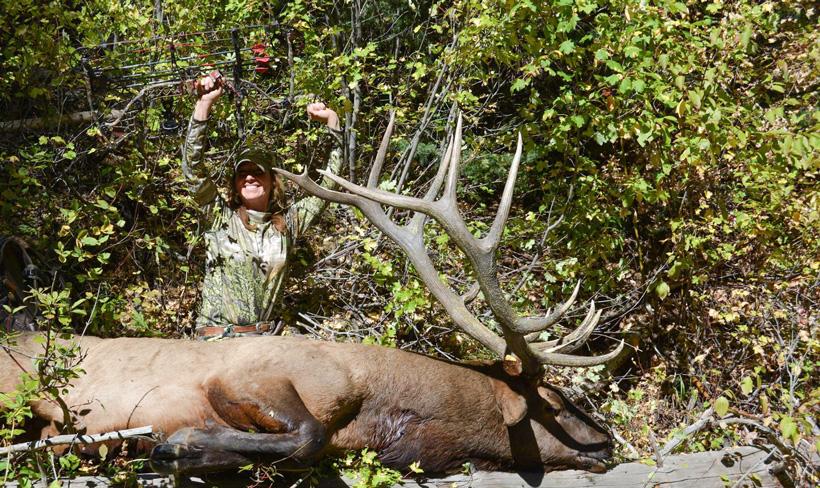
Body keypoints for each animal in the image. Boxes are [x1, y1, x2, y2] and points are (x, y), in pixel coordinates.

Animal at [0, 113, 624, 477]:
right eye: (557, 403)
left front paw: (183, 447)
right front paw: (179, 443)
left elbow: (302, 447)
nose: (608, 443)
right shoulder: (250, 374)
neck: (377, 411)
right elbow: (306, 433)